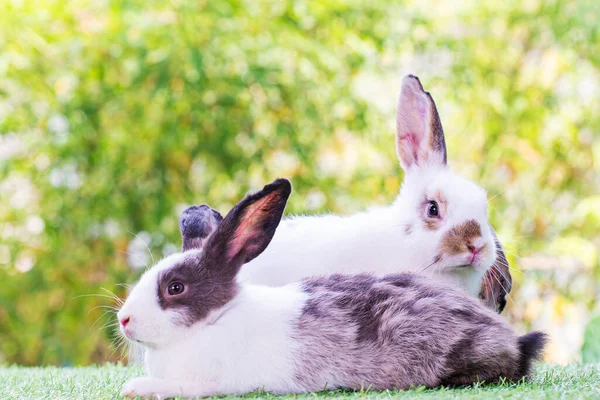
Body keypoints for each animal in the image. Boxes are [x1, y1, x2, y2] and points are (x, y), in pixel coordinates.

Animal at [119, 180, 548, 398]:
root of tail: (513, 339)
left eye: (176, 287)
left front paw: (136, 388)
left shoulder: (215, 382)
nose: (123, 320)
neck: (215, 320)